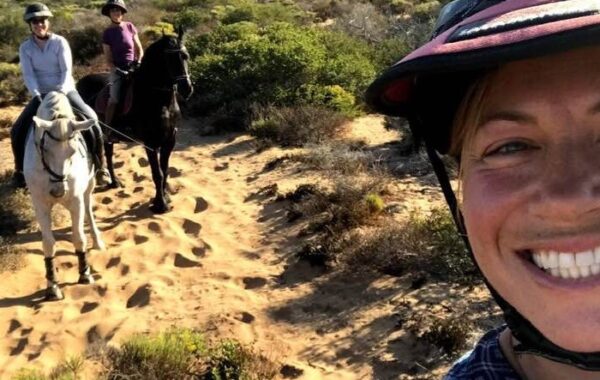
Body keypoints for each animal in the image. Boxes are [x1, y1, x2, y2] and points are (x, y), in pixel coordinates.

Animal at [24, 91, 105, 300]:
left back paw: (97, 241)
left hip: (89, 186)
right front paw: (52, 286)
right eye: (44, 148)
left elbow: (79, 237)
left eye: (74, 151)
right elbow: (48, 244)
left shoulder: (76, 201)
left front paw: (85, 274)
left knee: (89, 210)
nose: (58, 192)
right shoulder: (40, 204)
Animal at [76, 27, 191, 214]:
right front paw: (160, 205)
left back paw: (114, 182)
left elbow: (165, 170)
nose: (187, 89)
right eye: (169, 59)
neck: (158, 100)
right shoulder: (151, 142)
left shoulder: (169, 140)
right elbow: (157, 173)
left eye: (185, 56)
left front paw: (164, 197)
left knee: (108, 154)